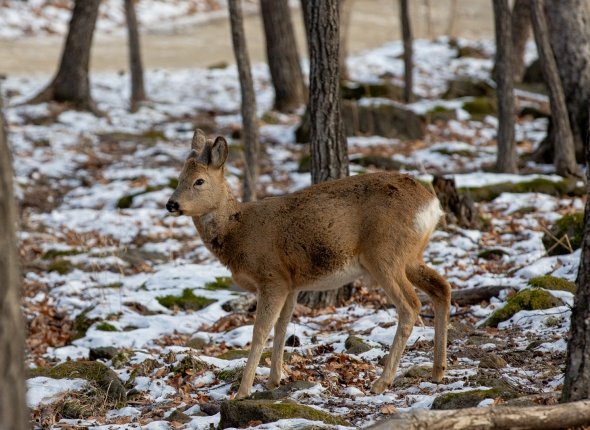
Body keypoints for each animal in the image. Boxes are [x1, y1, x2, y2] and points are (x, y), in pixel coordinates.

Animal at [166, 129, 451, 399]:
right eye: (179, 178)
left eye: (199, 181)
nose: (171, 204)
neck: (238, 229)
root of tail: (432, 205)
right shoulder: (291, 283)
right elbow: (282, 327)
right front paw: (273, 380)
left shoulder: (272, 277)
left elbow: (260, 332)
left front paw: (243, 391)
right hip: (410, 256)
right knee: (442, 288)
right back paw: (438, 371)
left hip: (384, 254)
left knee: (410, 305)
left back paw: (382, 382)